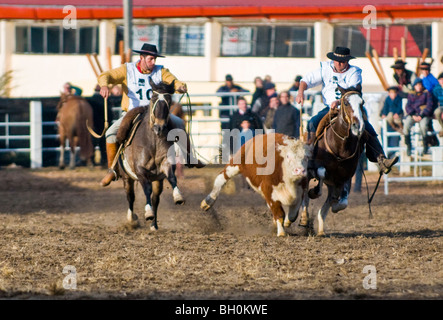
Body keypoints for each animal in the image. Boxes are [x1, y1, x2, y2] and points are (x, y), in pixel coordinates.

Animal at [116, 79, 184, 230]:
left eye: (169, 100)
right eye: (153, 98)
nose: (159, 127)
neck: (153, 141)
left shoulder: (165, 164)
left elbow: (172, 178)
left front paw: (178, 197)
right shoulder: (140, 171)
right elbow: (146, 189)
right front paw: (148, 213)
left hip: (157, 180)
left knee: (155, 199)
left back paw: (154, 225)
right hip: (127, 177)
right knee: (131, 197)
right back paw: (131, 219)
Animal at [300, 86, 366, 236]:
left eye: (362, 103)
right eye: (346, 103)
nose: (358, 126)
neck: (340, 147)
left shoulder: (345, 177)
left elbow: (341, 202)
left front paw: (336, 203)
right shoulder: (317, 168)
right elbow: (321, 174)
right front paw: (314, 192)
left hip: (331, 184)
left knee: (325, 203)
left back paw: (320, 230)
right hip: (306, 174)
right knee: (304, 197)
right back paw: (303, 219)